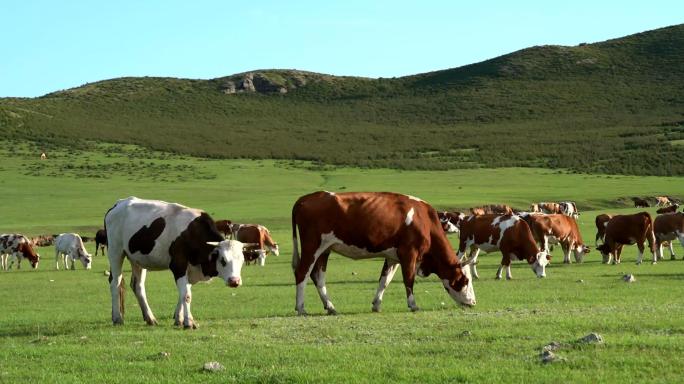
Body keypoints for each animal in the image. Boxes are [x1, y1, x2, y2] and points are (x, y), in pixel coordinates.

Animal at [103, 196, 250, 328]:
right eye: (223, 260)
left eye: (242, 261)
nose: (234, 281)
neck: (192, 233)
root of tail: (119, 204)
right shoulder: (178, 266)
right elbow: (186, 295)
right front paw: (188, 322)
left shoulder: (189, 269)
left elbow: (183, 294)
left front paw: (180, 319)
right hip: (116, 252)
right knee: (115, 283)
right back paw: (117, 318)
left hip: (138, 260)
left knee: (137, 286)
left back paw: (150, 318)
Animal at [290, 192, 476, 316]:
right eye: (465, 280)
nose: (473, 302)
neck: (425, 221)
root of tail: (305, 198)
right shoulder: (409, 253)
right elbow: (409, 280)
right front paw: (413, 305)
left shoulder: (393, 257)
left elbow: (384, 280)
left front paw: (376, 304)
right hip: (312, 246)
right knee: (302, 273)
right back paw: (301, 308)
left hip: (325, 250)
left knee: (318, 276)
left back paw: (330, 307)